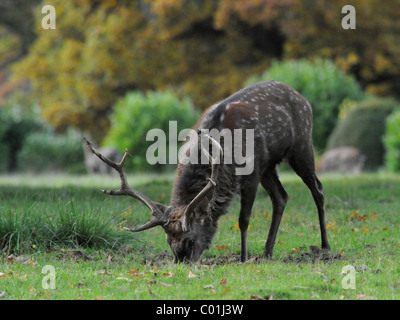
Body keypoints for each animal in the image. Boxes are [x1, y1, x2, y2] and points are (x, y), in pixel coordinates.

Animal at [84, 80, 332, 262]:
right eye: (168, 241)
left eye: (191, 240)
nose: (183, 263)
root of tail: (302, 97)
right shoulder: (258, 168)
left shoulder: (251, 172)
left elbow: (243, 219)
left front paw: (243, 258)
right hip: (269, 166)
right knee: (281, 197)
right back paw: (267, 252)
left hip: (301, 146)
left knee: (318, 189)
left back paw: (325, 246)